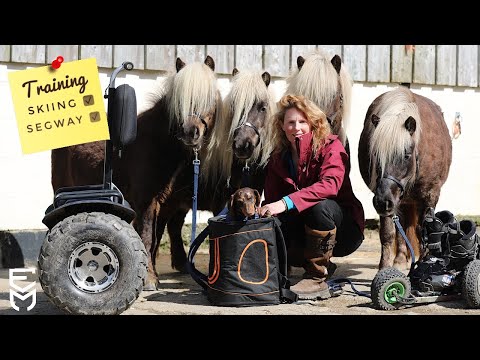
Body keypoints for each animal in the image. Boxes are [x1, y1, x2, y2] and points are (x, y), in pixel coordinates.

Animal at [358, 86, 452, 270]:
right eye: (375, 155)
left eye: (406, 155)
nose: (382, 201)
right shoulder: (389, 200)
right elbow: (388, 232)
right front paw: (385, 267)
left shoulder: (430, 195)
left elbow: (425, 231)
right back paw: (400, 260)